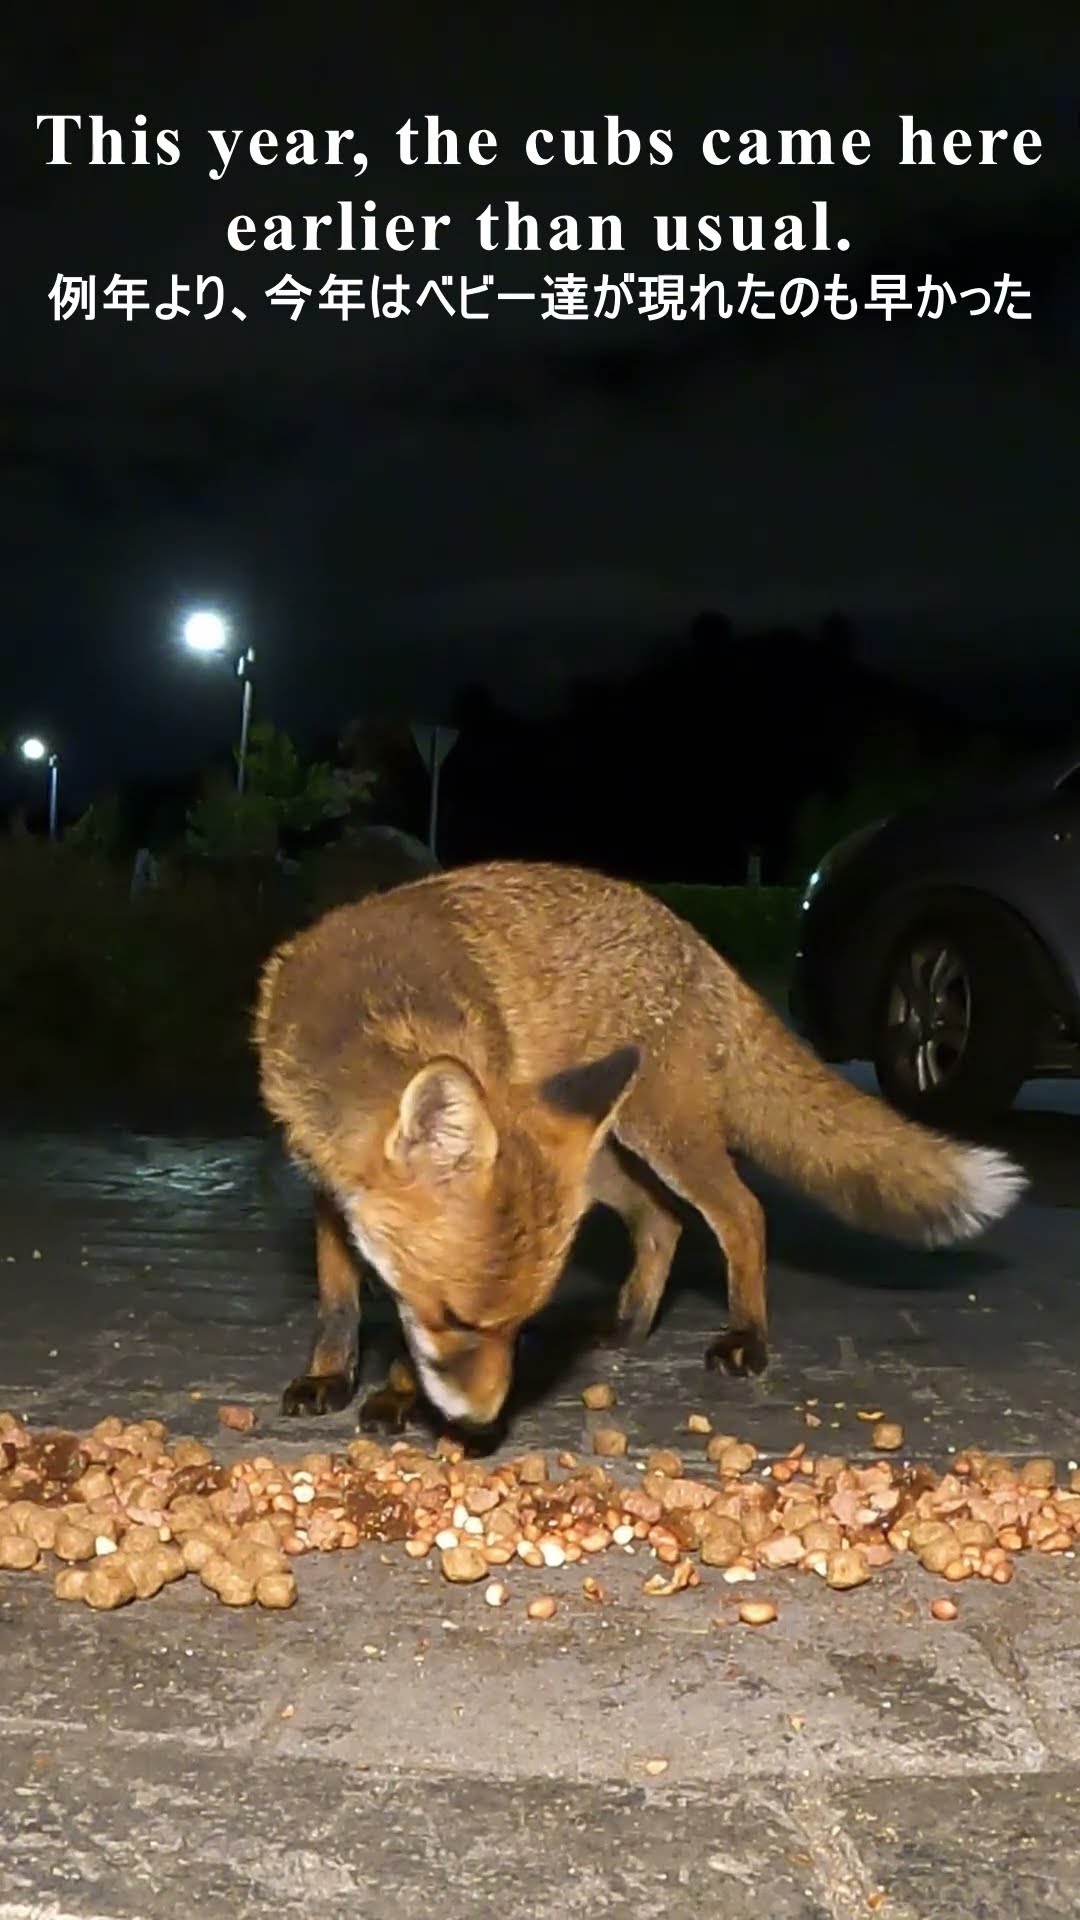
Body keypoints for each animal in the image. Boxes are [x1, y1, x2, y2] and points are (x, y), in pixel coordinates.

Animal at [252, 859, 1028, 1434]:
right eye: (455, 1319)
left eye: (518, 1324)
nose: (482, 1424)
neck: (371, 1012)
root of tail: (693, 935)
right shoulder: (325, 1185)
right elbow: (338, 1297)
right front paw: (329, 1375)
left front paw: (395, 1393)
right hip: (598, 1158)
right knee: (664, 1220)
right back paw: (630, 1322)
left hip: (661, 1136)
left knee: (741, 1213)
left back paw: (747, 1337)